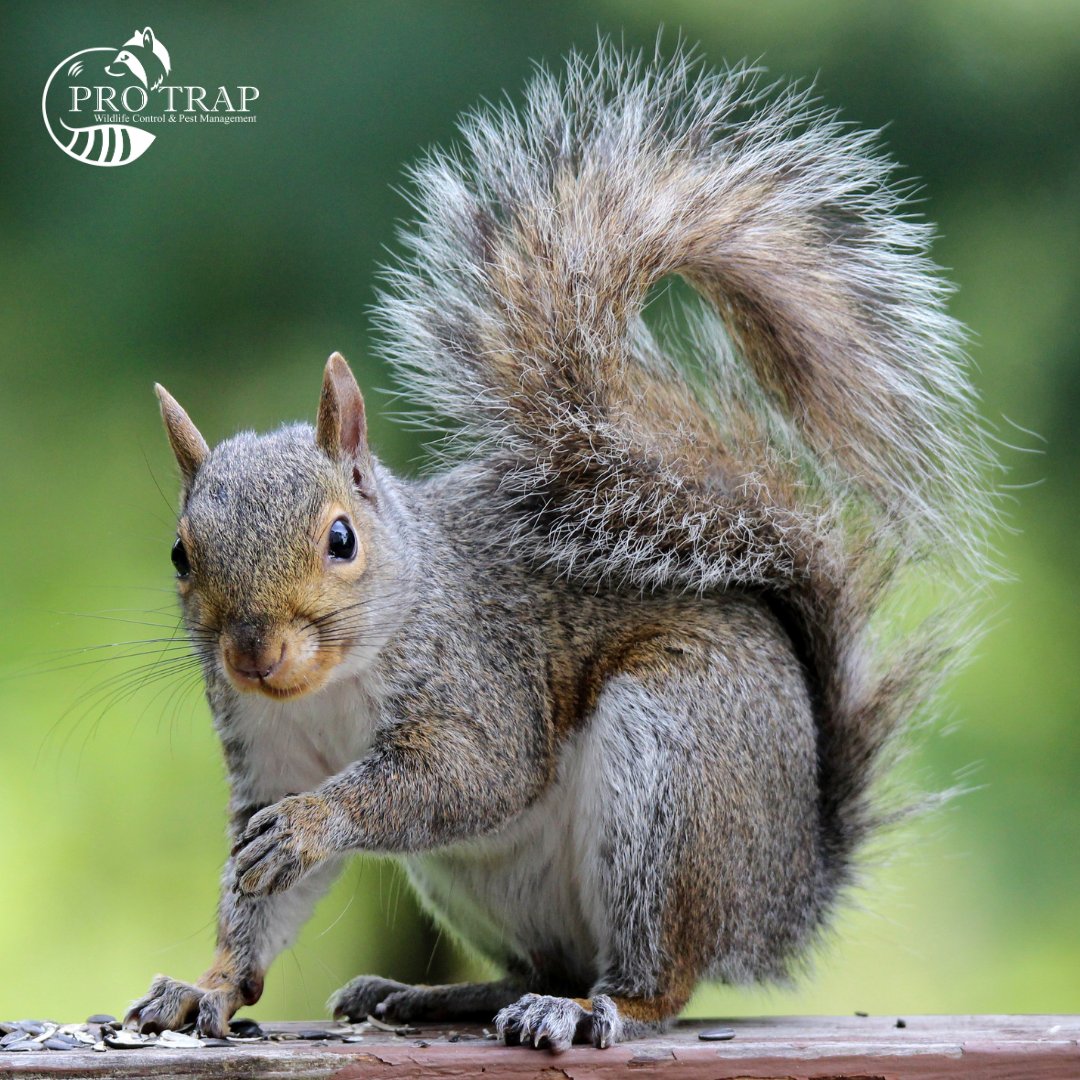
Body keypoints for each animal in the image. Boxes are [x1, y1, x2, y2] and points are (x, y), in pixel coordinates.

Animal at [124, 45, 993, 1050]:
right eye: (180, 554)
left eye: (341, 538)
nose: (254, 654)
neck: (333, 684)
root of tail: (785, 894)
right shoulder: (264, 754)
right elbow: (258, 899)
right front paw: (208, 988)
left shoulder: (480, 680)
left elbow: (466, 777)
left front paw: (314, 822)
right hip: (487, 880)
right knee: (547, 962)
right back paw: (435, 995)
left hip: (676, 773)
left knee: (656, 977)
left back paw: (585, 1009)